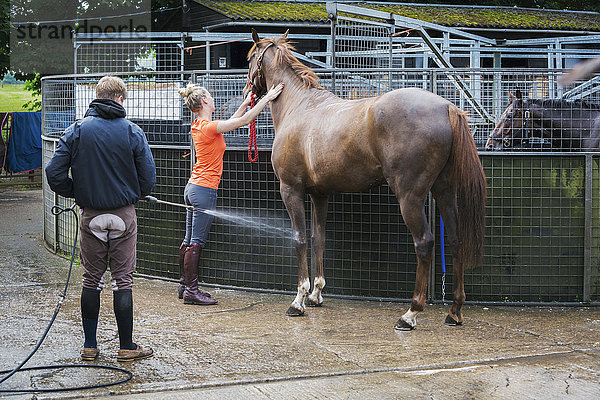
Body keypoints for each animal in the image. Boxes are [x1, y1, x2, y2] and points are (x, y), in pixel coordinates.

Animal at [244, 30, 488, 332]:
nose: (247, 89)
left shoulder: (291, 189)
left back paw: (410, 314)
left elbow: (300, 239)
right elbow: (318, 239)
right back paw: (454, 311)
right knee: (455, 240)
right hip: (445, 191)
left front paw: (298, 300)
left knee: (425, 243)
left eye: (250, 59)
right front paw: (316, 294)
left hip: (410, 197)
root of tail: (446, 106)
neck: (298, 106)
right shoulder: (319, 195)